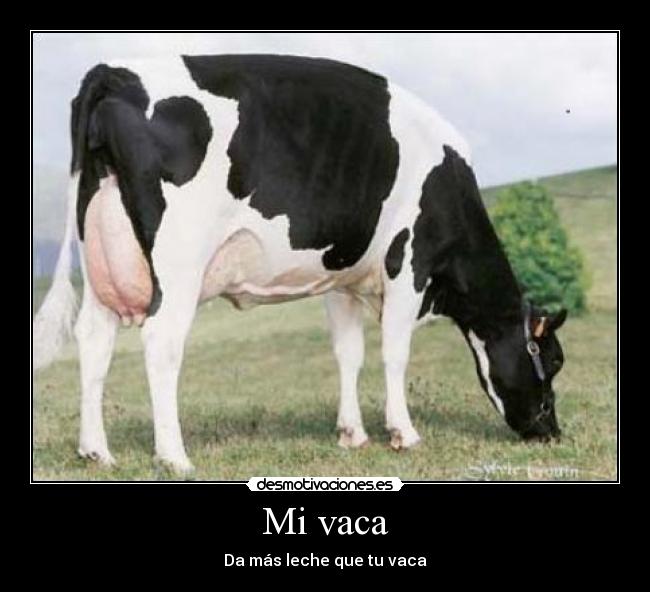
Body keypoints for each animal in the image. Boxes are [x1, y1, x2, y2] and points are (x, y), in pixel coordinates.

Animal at [33, 54, 567, 475]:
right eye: (554, 359)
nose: (552, 430)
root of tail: (114, 72)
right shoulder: (408, 264)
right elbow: (395, 353)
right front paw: (404, 432)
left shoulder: (343, 278)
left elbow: (349, 353)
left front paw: (353, 434)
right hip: (179, 259)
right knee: (161, 342)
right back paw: (174, 457)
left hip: (104, 256)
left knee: (94, 341)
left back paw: (97, 452)